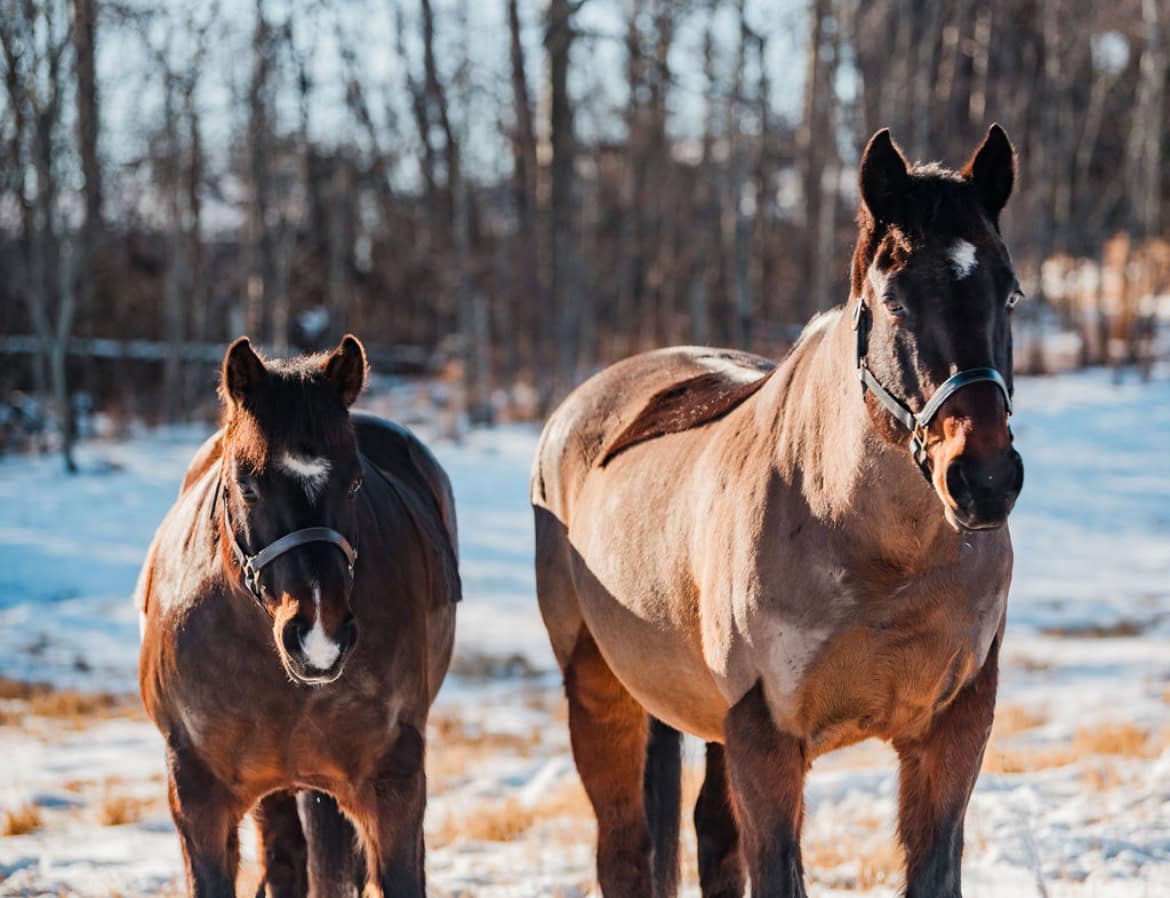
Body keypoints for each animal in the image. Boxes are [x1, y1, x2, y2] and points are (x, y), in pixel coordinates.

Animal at [532, 125, 1024, 898]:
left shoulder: (953, 732)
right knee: (624, 848)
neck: (881, 554)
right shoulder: (765, 740)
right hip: (599, 692)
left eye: (1009, 295)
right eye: (894, 302)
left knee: (710, 835)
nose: (984, 479)